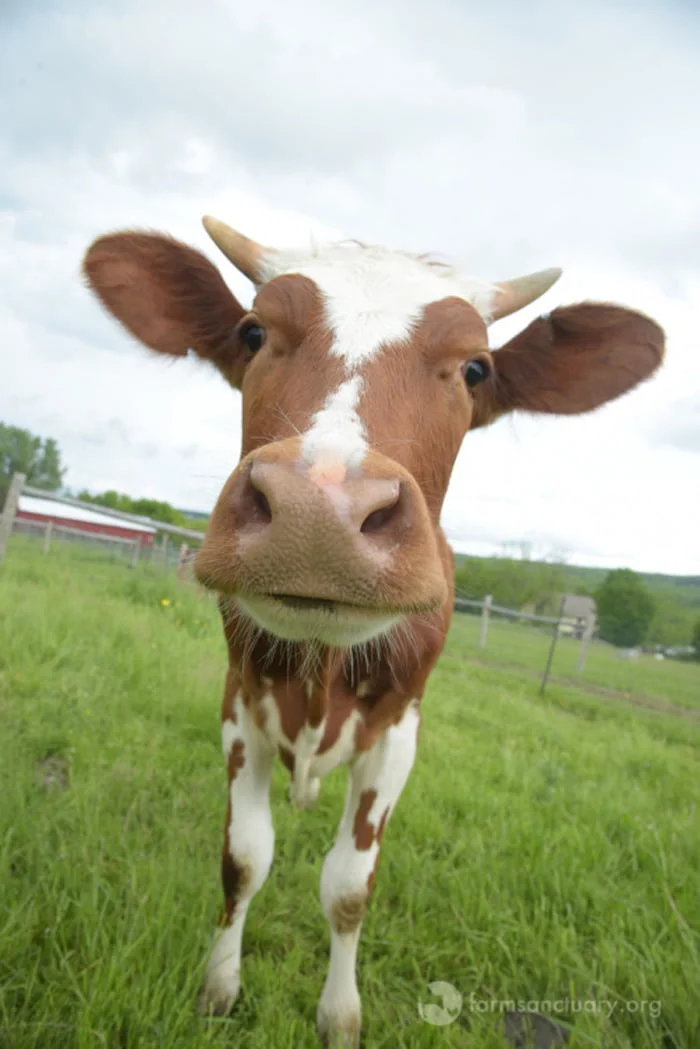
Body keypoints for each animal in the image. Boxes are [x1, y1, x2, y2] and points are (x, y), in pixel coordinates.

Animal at [83, 217, 664, 1047]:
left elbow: (349, 887)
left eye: (477, 368)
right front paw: (219, 986)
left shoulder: (398, 733)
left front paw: (338, 1014)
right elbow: (243, 858)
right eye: (253, 331)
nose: (318, 512)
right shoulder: (239, 705)